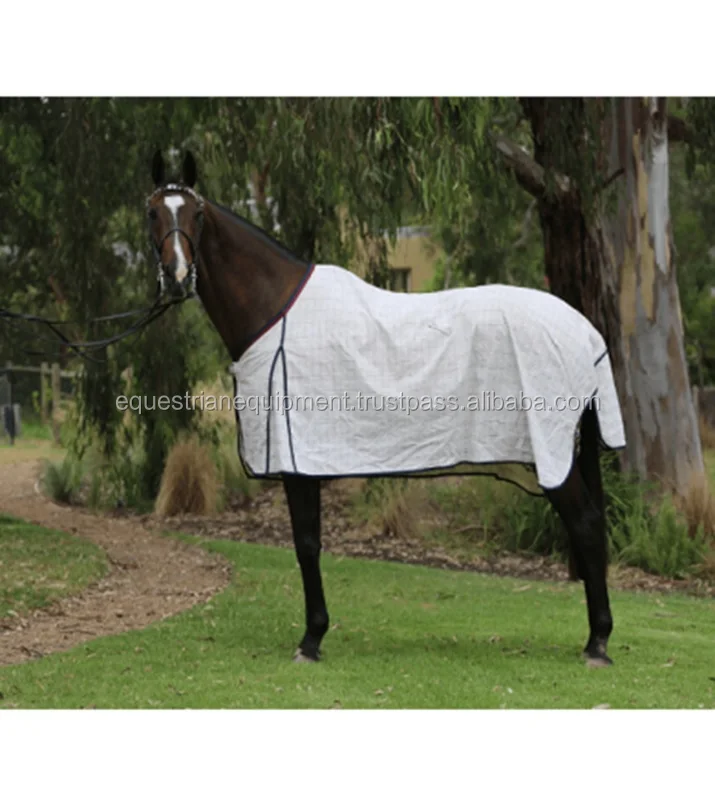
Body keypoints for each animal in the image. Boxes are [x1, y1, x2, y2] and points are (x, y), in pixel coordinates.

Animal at [146, 149, 626, 668]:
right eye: (153, 212)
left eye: (196, 214)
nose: (177, 279)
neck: (275, 311)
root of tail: (585, 330)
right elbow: (309, 543)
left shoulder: (298, 460)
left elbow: (306, 543)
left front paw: (311, 639)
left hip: (551, 452)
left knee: (585, 524)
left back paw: (598, 642)